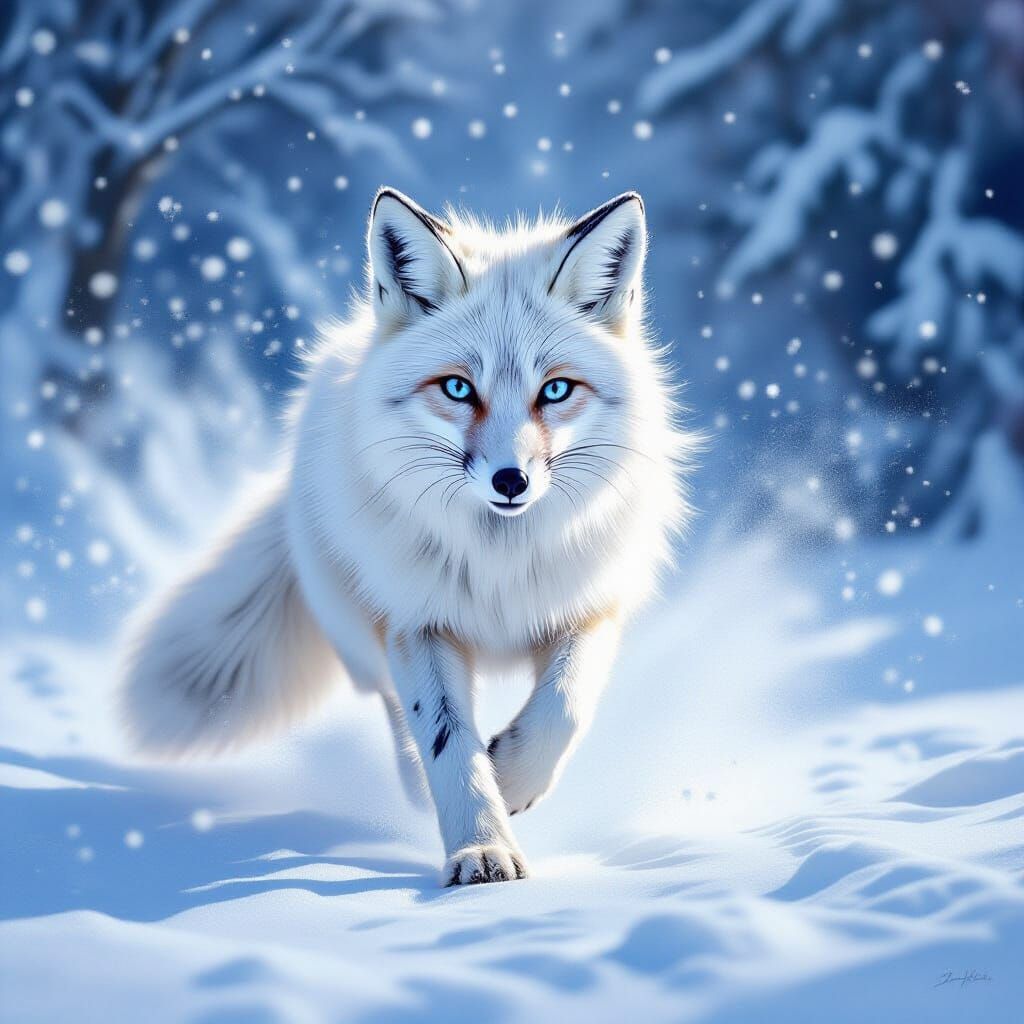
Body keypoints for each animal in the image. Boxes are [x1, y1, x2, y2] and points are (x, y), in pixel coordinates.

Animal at [120, 187, 692, 886]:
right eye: (458, 388)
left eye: (555, 390)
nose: (511, 481)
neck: (498, 566)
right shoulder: (418, 623)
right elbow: (446, 740)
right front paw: (480, 848)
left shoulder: (588, 607)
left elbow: (564, 707)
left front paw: (511, 779)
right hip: (360, 628)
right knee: (392, 707)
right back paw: (418, 785)